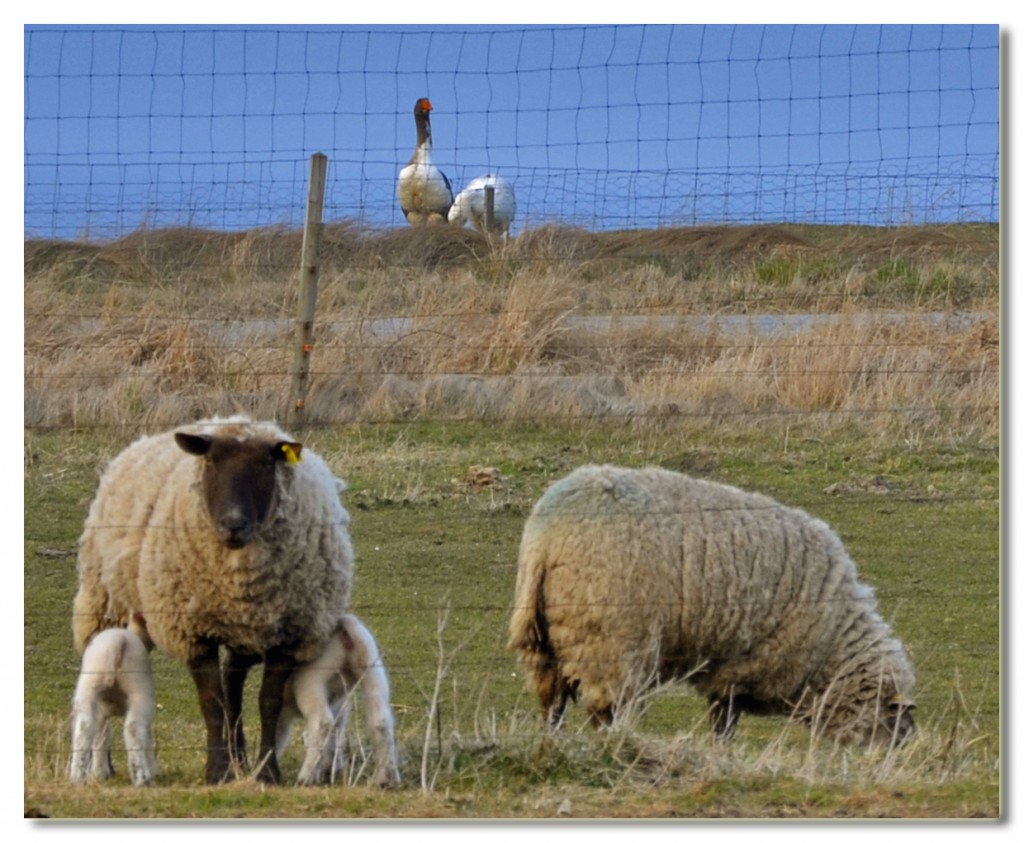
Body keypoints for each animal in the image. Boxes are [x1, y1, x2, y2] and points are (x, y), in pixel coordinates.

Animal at [69, 614, 155, 786]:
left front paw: (99, 773)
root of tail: (118, 642)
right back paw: (142, 778)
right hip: (140, 691)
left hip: (88, 688)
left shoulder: (101, 711)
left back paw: (77, 776)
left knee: (84, 726)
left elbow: (101, 735)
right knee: (133, 729)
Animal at [278, 610, 401, 786]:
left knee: (322, 723)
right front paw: (331, 768)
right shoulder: (339, 703)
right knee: (381, 721)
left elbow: (278, 735)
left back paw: (306, 777)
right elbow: (337, 730)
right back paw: (386, 778)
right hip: (372, 672)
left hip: (311, 679)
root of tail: (344, 627)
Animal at [507, 465, 917, 749]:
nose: (902, 749)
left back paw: (556, 745)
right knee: (607, 711)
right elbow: (725, 722)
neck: (831, 642)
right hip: (608, 643)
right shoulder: (739, 666)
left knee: (553, 706)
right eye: (894, 718)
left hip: (543, 643)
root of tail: (547, 538)